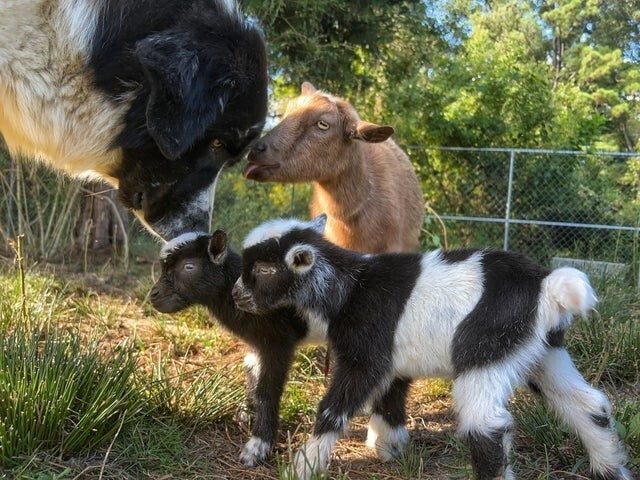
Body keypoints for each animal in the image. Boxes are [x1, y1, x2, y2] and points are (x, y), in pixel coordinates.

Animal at [149, 231, 324, 466]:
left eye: (189, 266)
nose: (154, 295)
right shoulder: (258, 344)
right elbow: (251, 369)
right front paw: (246, 413)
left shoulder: (278, 343)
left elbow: (268, 390)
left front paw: (258, 446)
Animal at [234, 217, 632, 480]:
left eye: (265, 269)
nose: (237, 295)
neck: (349, 287)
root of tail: (547, 286)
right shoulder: (393, 360)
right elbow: (390, 399)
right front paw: (390, 448)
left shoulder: (365, 354)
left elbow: (334, 409)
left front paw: (303, 466)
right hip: (541, 351)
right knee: (588, 405)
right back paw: (611, 469)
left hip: (485, 347)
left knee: (486, 425)